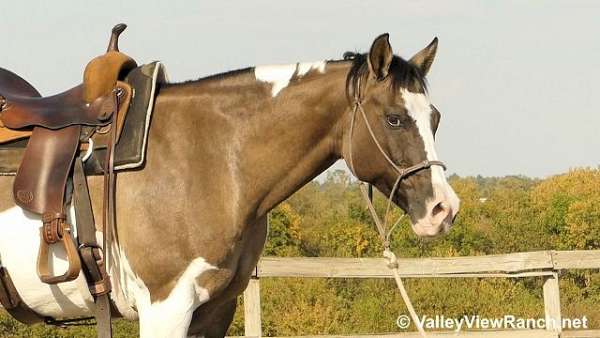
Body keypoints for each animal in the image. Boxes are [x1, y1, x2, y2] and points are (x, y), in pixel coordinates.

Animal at [0, 35, 460, 338]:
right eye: (394, 119)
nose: (444, 209)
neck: (209, 158)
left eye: (435, 117)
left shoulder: (216, 309)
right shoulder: (165, 307)